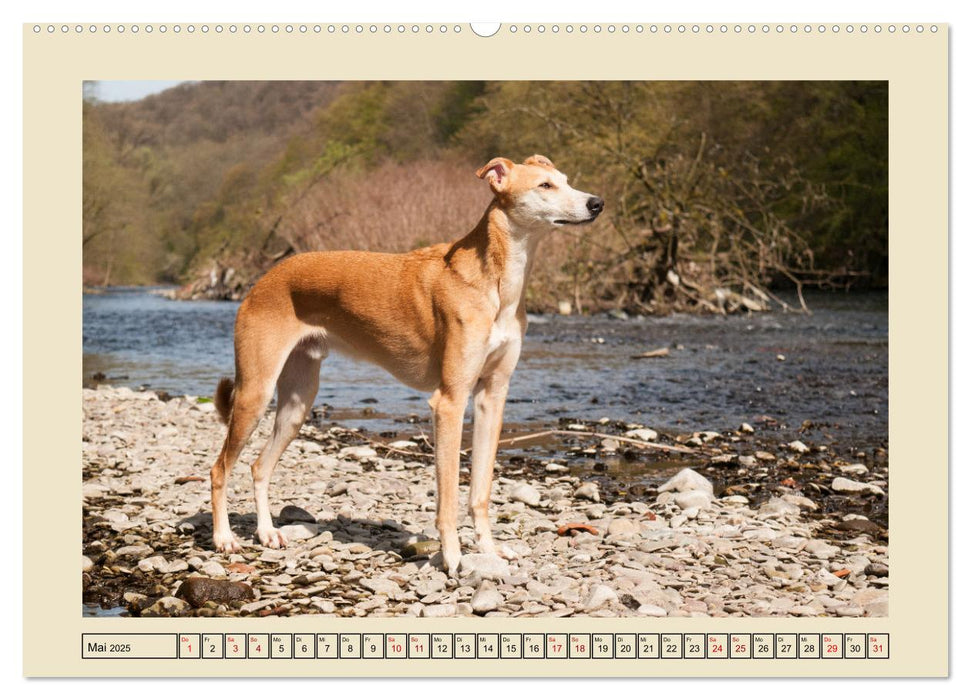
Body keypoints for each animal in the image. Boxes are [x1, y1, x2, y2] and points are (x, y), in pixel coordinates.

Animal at [211, 154, 600, 576]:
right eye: (545, 185)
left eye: (566, 180)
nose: (597, 203)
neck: (495, 282)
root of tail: (262, 279)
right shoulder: (449, 402)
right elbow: (448, 496)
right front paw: (453, 557)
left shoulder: (491, 397)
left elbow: (479, 491)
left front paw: (490, 550)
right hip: (255, 393)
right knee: (220, 469)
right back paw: (224, 538)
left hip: (296, 404)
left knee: (259, 467)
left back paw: (267, 533)